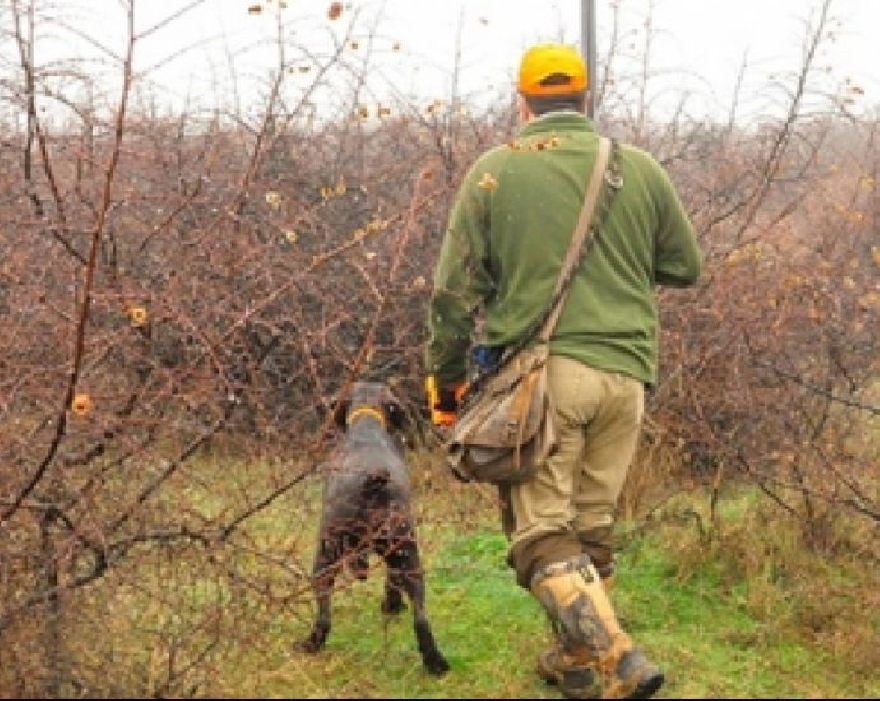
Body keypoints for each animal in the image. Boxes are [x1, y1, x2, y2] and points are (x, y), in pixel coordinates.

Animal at [300, 380, 450, 676]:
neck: (367, 425)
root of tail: (372, 480)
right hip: (408, 555)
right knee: (420, 616)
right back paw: (434, 661)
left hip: (325, 557)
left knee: (324, 615)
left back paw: (312, 643)